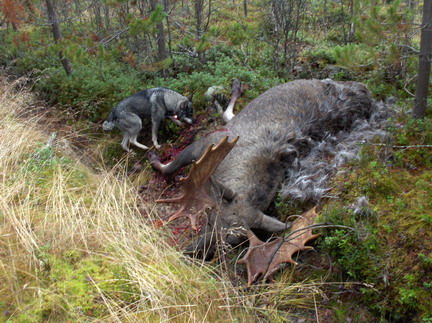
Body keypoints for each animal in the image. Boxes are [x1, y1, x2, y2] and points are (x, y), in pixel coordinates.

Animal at [149, 79, 378, 286]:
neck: (229, 166)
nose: (190, 252)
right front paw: (153, 158)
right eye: (210, 220)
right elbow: (170, 166)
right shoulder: (205, 143)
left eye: (235, 242)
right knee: (228, 114)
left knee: (228, 115)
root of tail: (360, 89)